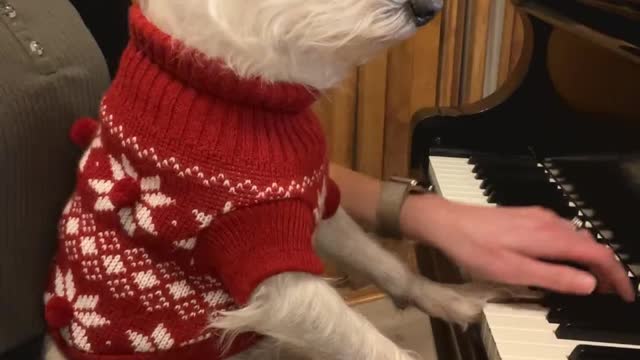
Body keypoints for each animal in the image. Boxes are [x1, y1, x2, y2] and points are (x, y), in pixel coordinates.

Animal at [41, 0, 528, 360]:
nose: (432, 8)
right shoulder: (271, 274)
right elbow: (369, 342)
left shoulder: (315, 205)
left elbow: (383, 261)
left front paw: (453, 297)